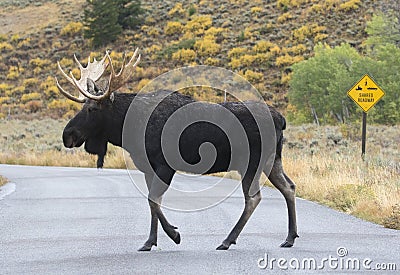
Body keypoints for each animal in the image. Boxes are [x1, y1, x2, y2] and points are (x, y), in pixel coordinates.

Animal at [55, 49, 296, 252]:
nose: (67, 135)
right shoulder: (148, 168)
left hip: (253, 162)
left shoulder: (164, 165)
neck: (129, 128)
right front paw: (150, 242)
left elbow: (153, 200)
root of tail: (281, 119)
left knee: (254, 198)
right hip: (272, 160)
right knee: (288, 187)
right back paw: (290, 237)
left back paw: (228, 240)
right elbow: (153, 202)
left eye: (92, 108)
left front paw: (174, 235)